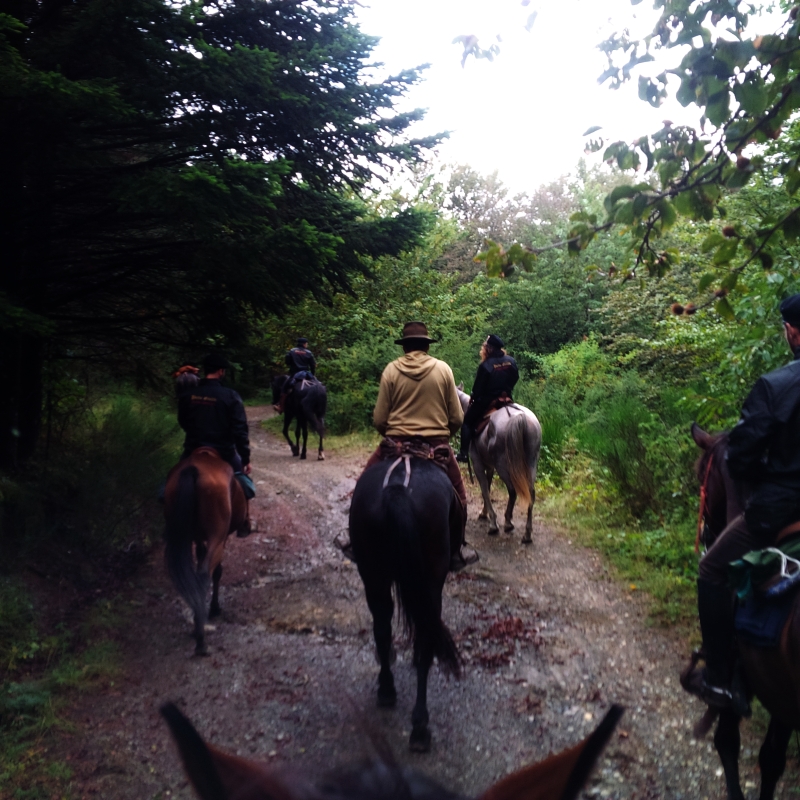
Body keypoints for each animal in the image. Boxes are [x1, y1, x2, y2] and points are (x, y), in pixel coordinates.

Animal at [163, 446, 247, 652]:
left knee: (195, 573)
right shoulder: (221, 538)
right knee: (204, 574)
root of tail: (193, 470)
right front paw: (215, 608)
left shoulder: (199, 538)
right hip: (217, 535)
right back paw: (201, 637)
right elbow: (217, 571)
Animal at [346, 456, 460, 752]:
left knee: (382, 626)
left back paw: (386, 689)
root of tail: (397, 488)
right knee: (424, 637)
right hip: (431, 579)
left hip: (372, 571)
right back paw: (420, 727)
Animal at [456, 386, 544, 544]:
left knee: (512, 491)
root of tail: (520, 418)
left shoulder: (478, 464)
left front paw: (492, 522)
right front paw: (484, 513)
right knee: (531, 494)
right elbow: (488, 488)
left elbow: (485, 490)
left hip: (502, 466)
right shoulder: (490, 466)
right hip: (531, 464)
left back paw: (508, 523)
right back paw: (527, 534)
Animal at [688, 422, 800, 796]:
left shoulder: (738, 675)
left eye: (701, 474)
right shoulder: (780, 699)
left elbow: (726, 742)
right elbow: (771, 761)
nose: (709, 534)